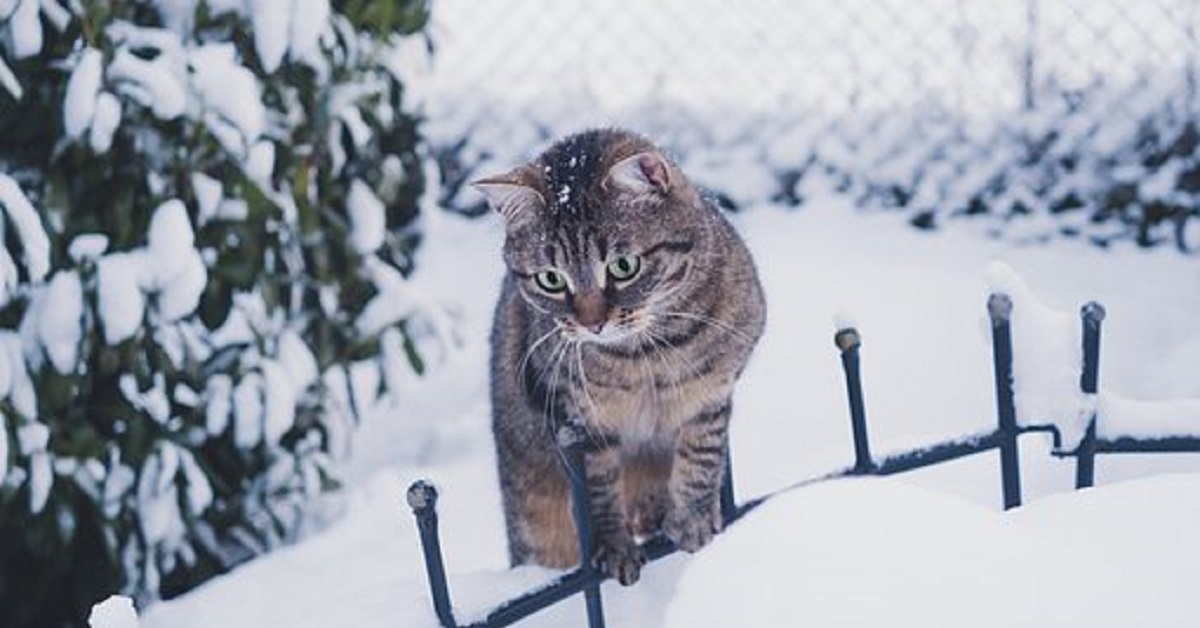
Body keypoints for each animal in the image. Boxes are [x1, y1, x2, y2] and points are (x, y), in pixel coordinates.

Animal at [472, 126, 763, 585]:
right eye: (551, 279)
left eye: (623, 266)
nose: (593, 324)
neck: (644, 356)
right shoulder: (579, 420)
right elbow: (599, 486)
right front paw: (613, 545)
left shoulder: (715, 390)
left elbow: (701, 454)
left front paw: (692, 518)